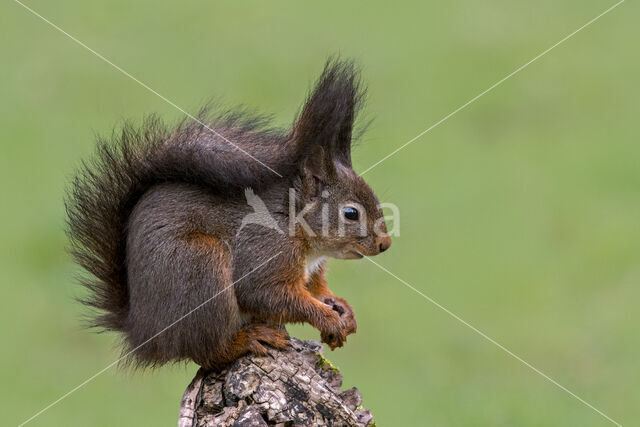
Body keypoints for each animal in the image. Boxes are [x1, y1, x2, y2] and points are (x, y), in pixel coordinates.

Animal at [67, 57, 392, 372]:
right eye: (351, 213)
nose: (385, 244)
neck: (294, 222)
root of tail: (144, 334)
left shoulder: (309, 270)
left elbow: (314, 288)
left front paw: (341, 308)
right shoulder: (263, 247)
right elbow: (265, 293)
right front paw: (326, 317)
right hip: (200, 266)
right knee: (209, 352)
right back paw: (248, 339)